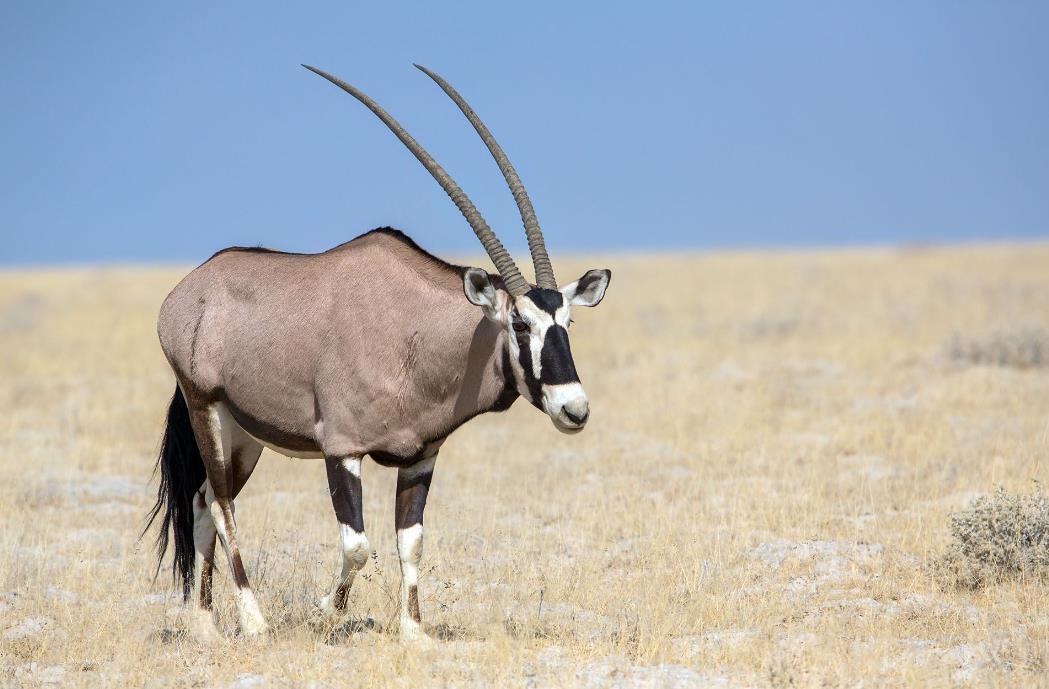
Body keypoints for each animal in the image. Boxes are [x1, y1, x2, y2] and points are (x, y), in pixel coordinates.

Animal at [143, 64, 612, 637]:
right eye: (520, 324)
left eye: (567, 321)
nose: (574, 409)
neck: (414, 330)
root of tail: (188, 291)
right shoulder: (342, 450)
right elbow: (358, 545)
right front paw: (327, 611)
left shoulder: (421, 457)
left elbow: (411, 543)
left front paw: (414, 631)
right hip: (205, 408)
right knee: (225, 505)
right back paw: (253, 621)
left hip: (243, 435)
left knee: (204, 499)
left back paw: (207, 622)